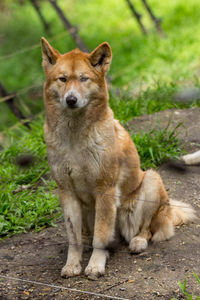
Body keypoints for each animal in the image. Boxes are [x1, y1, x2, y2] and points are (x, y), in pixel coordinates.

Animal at [41, 37, 196, 278]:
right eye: (63, 79)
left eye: (84, 79)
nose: (71, 99)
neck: (75, 137)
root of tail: (169, 211)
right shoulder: (67, 192)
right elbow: (73, 238)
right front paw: (72, 265)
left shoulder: (105, 189)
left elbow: (101, 236)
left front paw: (96, 265)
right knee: (87, 235)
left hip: (151, 182)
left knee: (147, 229)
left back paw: (138, 242)